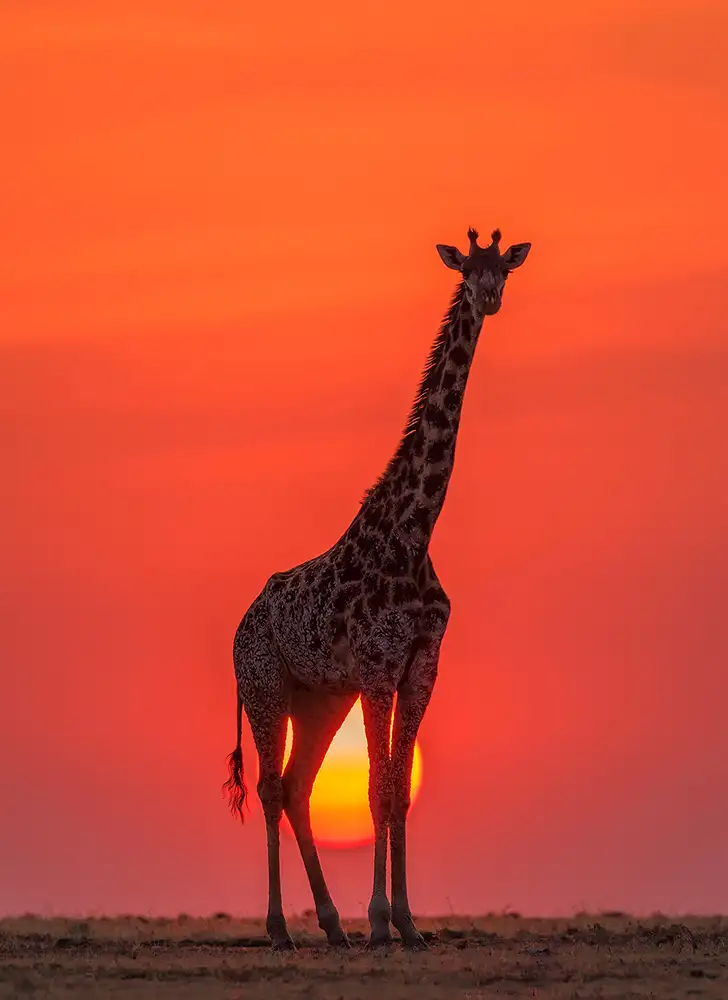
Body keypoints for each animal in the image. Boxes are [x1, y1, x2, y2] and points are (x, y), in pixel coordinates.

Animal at [224, 227, 531, 951]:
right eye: (467, 270)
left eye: (504, 268)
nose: (489, 297)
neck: (414, 533)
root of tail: (238, 628)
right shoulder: (377, 666)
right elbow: (374, 788)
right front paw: (380, 922)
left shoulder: (421, 665)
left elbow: (398, 791)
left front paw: (409, 925)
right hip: (265, 686)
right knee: (272, 788)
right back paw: (281, 930)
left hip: (318, 699)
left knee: (298, 786)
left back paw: (331, 926)